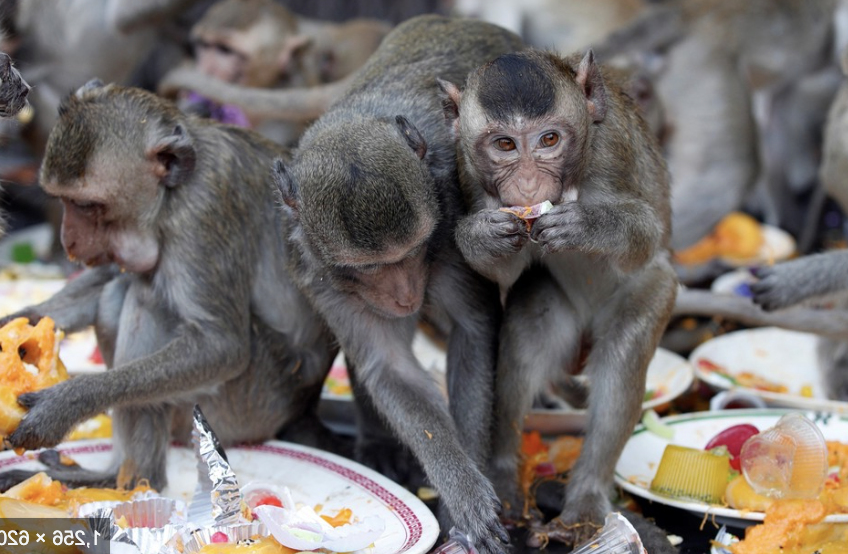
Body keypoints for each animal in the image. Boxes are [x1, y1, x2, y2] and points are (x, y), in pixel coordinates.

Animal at [0, 81, 338, 492]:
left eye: (88, 205)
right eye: (62, 200)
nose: (69, 243)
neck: (171, 196)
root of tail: (303, 408)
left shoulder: (202, 212)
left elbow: (220, 345)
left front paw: (65, 403)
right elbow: (108, 276)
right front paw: (15, 324)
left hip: (248, 406)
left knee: (147, 298)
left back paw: (129, 478)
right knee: (122, 291)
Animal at [271, 14, 525, 554]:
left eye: (413, 252)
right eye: (368, 269)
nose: (406, 295)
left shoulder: (449, 231)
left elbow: (473, 333)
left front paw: (463, 498)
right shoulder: (318, 275)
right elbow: (390, 368)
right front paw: (463, 488)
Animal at [439, 49, 677, 547]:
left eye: (549, 139)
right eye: (505, 145)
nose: (529, 187)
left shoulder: (614, 150)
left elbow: (647, 236)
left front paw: (588, 225)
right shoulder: (466, 171)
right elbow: (499, 270)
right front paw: (484, 234)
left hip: (651, 295)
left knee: (623, 352)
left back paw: (584, 500)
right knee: (524, 342)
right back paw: (506, 479)